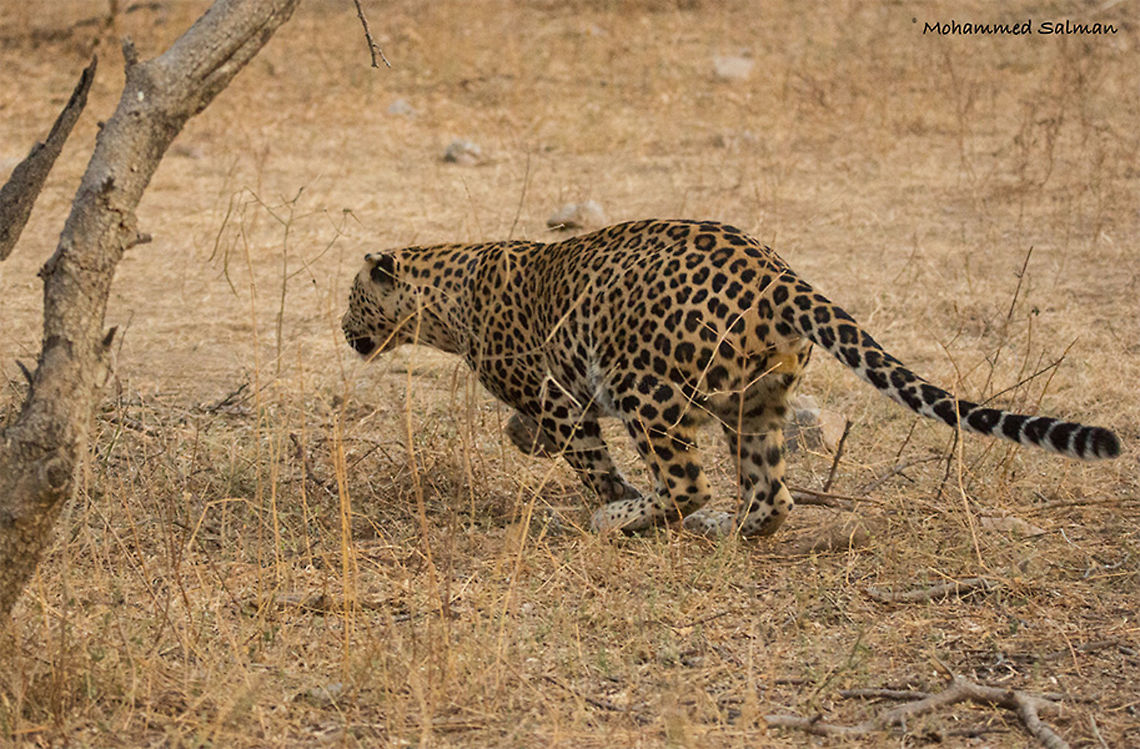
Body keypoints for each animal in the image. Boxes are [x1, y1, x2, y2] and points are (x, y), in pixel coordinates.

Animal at [341, 219, 1121, 537]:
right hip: (756, 399)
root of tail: (779, 274)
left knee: (688, 482)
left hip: (645, 386)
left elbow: (589, 459)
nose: (344, 332)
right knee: (771, 495)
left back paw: (626, 520)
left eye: (352, 300)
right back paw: (728, 529)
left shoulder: (559, 396)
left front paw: (611, 499)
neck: (445, 298)